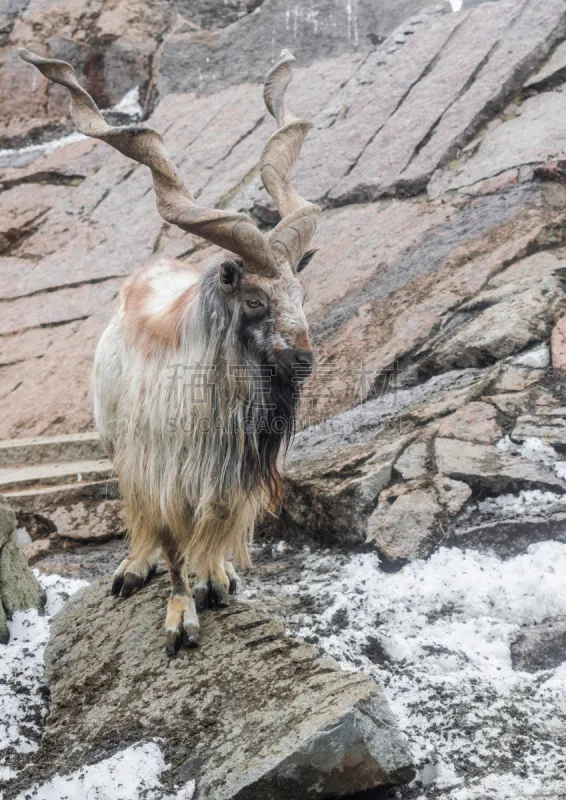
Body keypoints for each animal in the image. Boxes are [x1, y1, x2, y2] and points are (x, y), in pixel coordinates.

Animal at [21, 47, 320, 652]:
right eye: (254, 299)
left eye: (301, 294)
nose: (304, 360)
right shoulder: (158, 471)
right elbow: (171, 541)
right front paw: (180, 618)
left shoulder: (227, 476)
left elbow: (214, 528)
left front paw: (216, 581)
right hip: (114, 442)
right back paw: (133, 569)